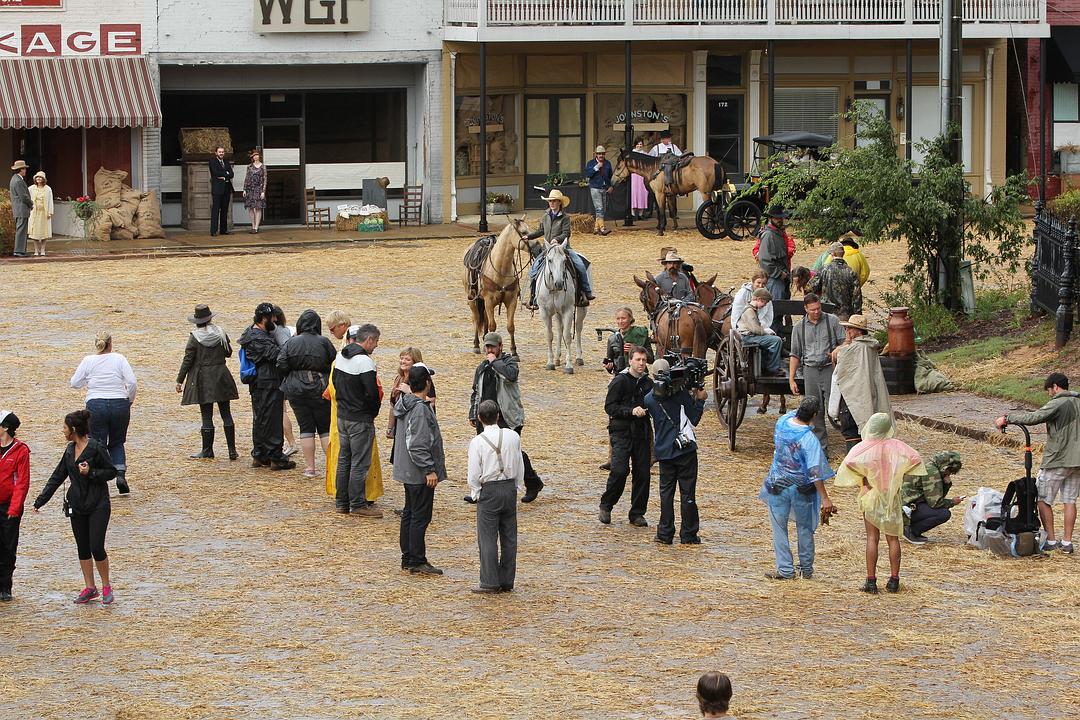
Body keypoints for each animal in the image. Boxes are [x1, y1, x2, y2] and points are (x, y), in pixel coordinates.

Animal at [460, 216, 535, 358]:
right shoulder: (489, 301)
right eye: (523, 232)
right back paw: (476, 345)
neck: (500, 268)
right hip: (472, 298)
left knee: (484, 319)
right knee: (477, 319)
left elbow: (510, 326)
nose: (538, 246)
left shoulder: (511, 301)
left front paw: (514, 351)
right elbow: (492, 326)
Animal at [535, 239, 587, 375]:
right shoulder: (544, 312)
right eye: (549, 260)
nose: (559, 283)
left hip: (581, 309)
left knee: (578, 328)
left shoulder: (568, 310)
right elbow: (549, 335)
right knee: (559, 331)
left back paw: (579, 357)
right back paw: (558, 358)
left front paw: (569, 365)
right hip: (558, 313)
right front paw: (550, 363)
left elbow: (567, 336)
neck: (554, 290)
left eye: (564, 260)